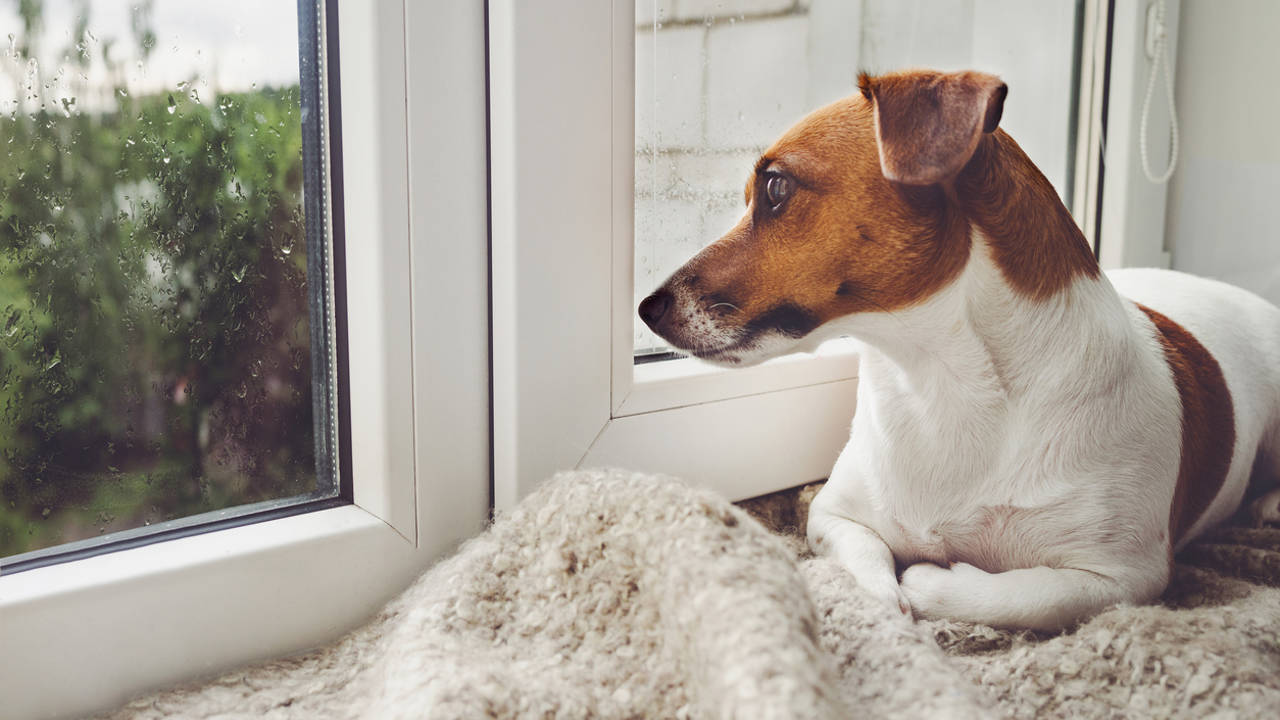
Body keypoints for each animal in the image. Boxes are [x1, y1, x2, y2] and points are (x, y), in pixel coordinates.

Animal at [640, 68, 1280, 627]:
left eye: (775, 188)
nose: (646, 309)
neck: (942, 382)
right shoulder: (832, 513)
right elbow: (869, 568)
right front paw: (887, 604)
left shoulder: (1122, 578)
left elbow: (1021, 596)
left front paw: (930, 582)